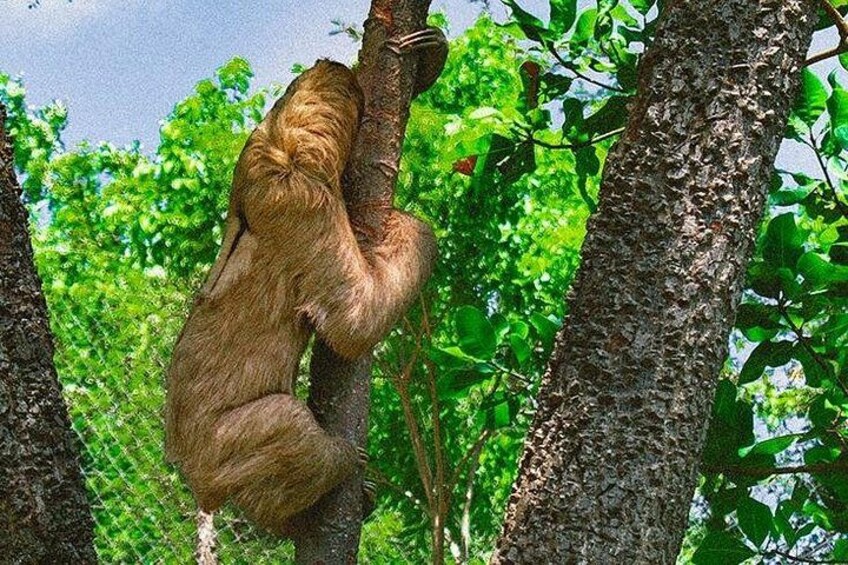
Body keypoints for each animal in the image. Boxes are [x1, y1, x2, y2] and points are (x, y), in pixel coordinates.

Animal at [164, 27, 447, 536]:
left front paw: (430, 52)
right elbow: (353, 321)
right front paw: (412, 224)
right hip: (218, 446)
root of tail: (188, 474)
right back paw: (337, 468)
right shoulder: (303, 205)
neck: (281, 151)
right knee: (288, 421)